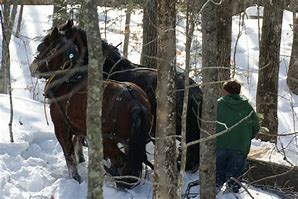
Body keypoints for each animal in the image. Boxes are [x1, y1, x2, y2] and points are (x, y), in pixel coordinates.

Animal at [30, 27, 152, 188]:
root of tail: (136, 102)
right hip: (130, 142)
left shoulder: (61, 128)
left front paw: (75, 179)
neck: (69, 80)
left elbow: (70, 157)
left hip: (107, 141)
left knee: (121, 162)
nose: (32, 67)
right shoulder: (78, 129)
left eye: (43, 47)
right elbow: (77, 147)